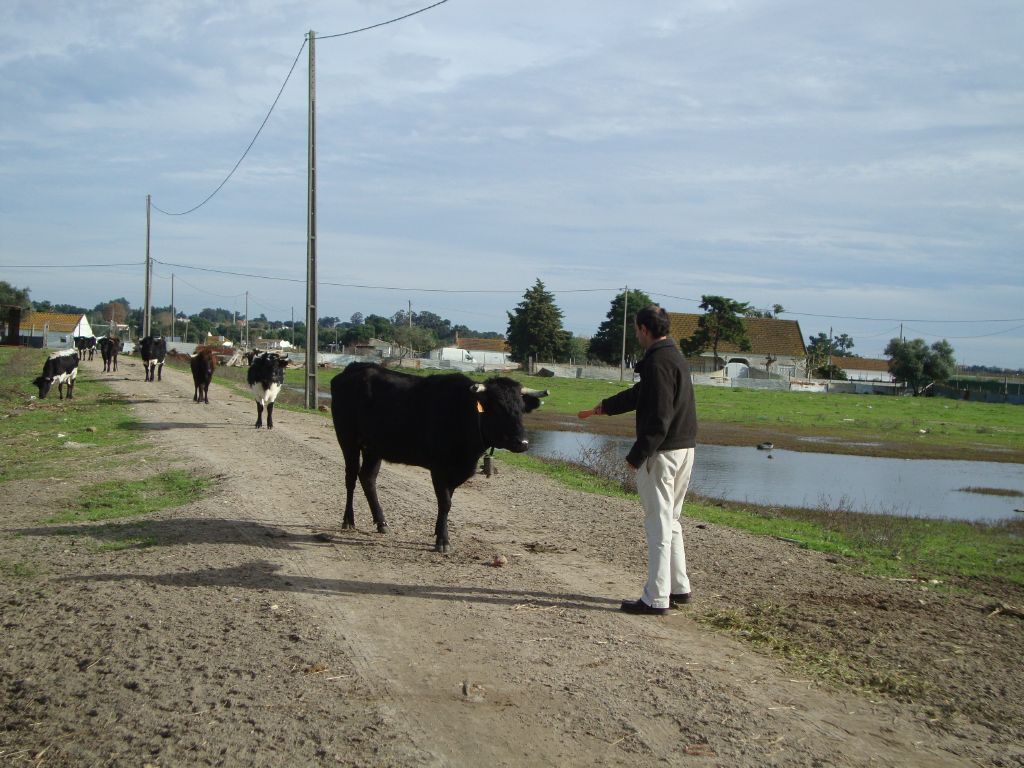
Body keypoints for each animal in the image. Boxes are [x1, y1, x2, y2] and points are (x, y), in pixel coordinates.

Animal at [329, 363, 547, 553]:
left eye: (521, 409)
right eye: (499, 407)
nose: (523, 443)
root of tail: (355, 368)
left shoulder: (457, 470)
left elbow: (448, 501)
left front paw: (437, 532)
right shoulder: (439, 468)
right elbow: (445, 502)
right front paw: (443, 540)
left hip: (374, 448)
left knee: (368, 478)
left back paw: (381, 522)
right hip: (347, 439)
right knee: (351, 477)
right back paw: (348, 520)